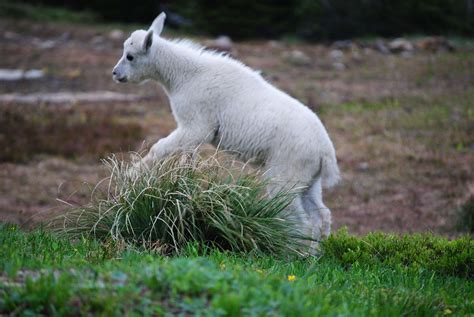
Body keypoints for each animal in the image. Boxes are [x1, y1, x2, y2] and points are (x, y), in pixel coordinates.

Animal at [112, 12, 338, 242]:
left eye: (130, 56)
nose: (115, 74)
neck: (182, 76)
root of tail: (325, 151)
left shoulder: (197, 124)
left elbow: (160, 147)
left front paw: (131, 175)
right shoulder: (194, 131)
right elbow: (187, 159)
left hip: (286, 172)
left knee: (302, 222)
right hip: (309, 178)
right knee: (321, 215)